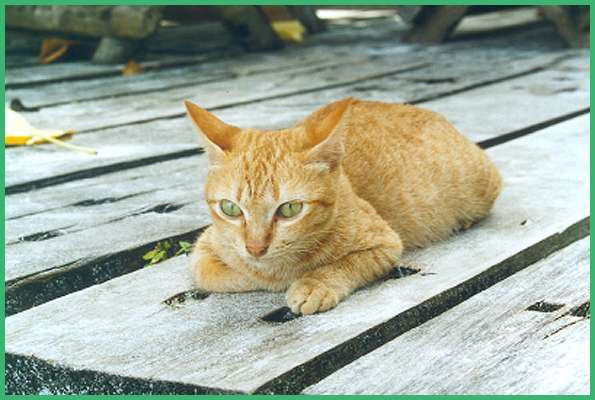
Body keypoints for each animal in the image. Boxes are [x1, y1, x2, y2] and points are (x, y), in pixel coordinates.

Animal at [184, 97, 500, 316]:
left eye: (289, 209)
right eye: (230, 208)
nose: (255, 248)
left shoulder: (385, 243)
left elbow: (344, 264)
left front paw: (314, 283)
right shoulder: (203, 250)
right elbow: (222, 274)